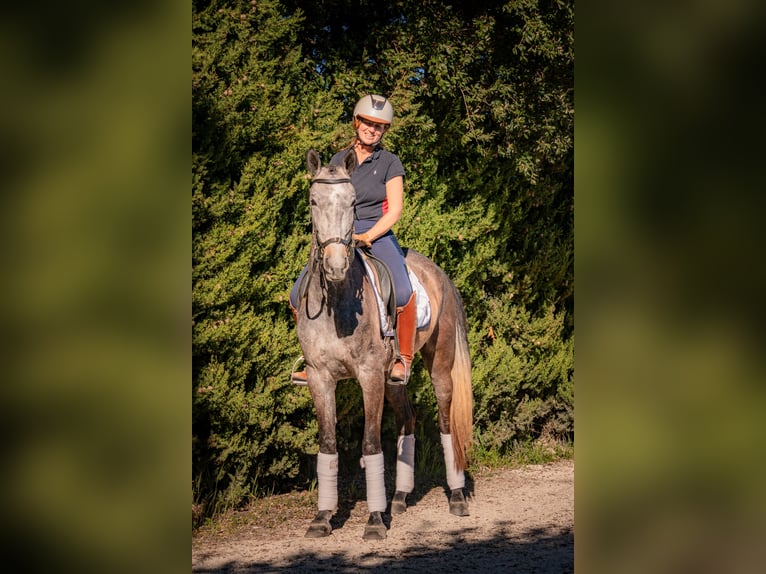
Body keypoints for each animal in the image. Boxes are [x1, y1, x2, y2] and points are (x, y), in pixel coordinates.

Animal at [295, 148, 473, 540]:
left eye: (352, 202)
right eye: (313, 201)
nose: (335, 265)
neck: (338, 300)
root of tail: (438, 272)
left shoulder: (369, 377)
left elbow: (371, 444)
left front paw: (375, 521)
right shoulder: (319, 377)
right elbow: (327, 444)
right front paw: (321, 518)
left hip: (439, 365)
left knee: (444, 423)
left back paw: (456, 498)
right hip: (394, 379)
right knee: (408, 420)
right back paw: (401, 498)